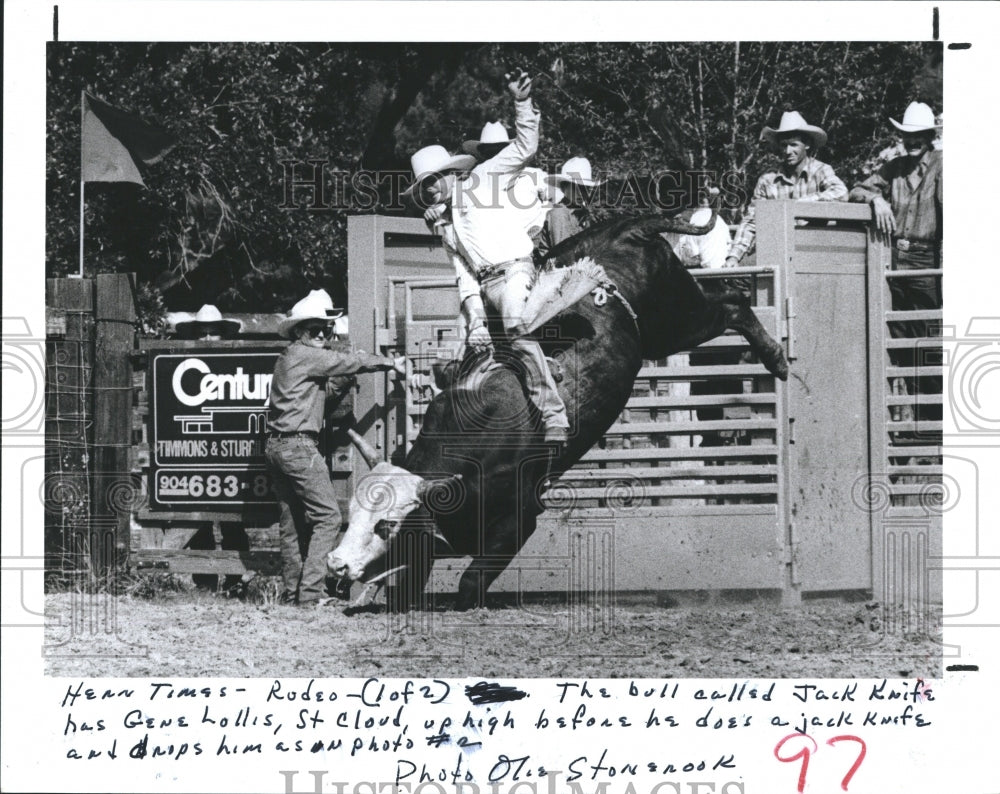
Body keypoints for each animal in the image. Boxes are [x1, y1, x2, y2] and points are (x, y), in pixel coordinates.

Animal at [328, 213, 788, 608]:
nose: (336, 565)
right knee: (729, 300)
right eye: (352, 513)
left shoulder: (520, 518)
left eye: (385, 525)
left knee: (733, 302)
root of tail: (631, 227)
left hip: (677, 316)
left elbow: (471, 580)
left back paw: (777, 357)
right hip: (666, 330)